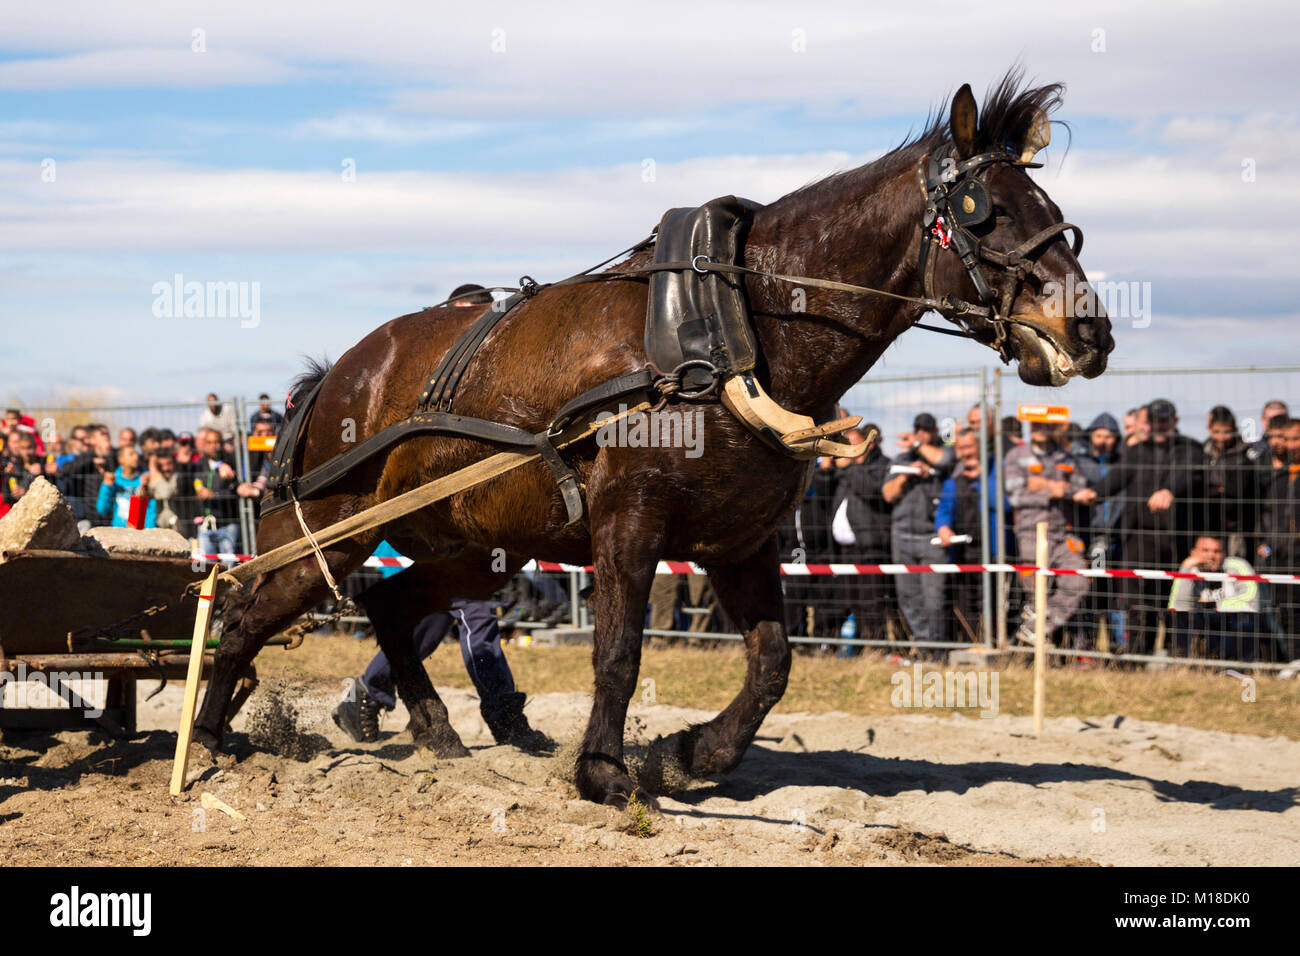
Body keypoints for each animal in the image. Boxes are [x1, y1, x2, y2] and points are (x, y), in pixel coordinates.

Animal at [195, 72, 1118, 806]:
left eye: (1058, 216)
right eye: (985, 213)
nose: (1092, 331)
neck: (732, 330)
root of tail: (338, 376)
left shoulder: (740, 541)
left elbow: (774, 661)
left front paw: (691, 754)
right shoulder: (628, 525)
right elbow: (619, 653)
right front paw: (604, 772)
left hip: (479, 547)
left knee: (388, 605)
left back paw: (438, 735)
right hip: (331, 531)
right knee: (243, 609)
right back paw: (206, 739)